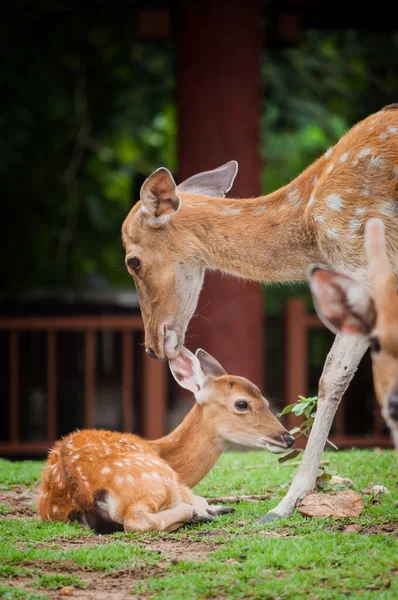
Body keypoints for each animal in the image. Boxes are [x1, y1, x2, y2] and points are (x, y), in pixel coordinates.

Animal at [38, 346, 292, 536]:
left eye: (267, 402)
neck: (159, 448)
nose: (287, 438)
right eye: (242, 403)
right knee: (137, 519)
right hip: (157, 480)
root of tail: (82, 493)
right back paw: (201, 513)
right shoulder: (181, 485)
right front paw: (208, 508)